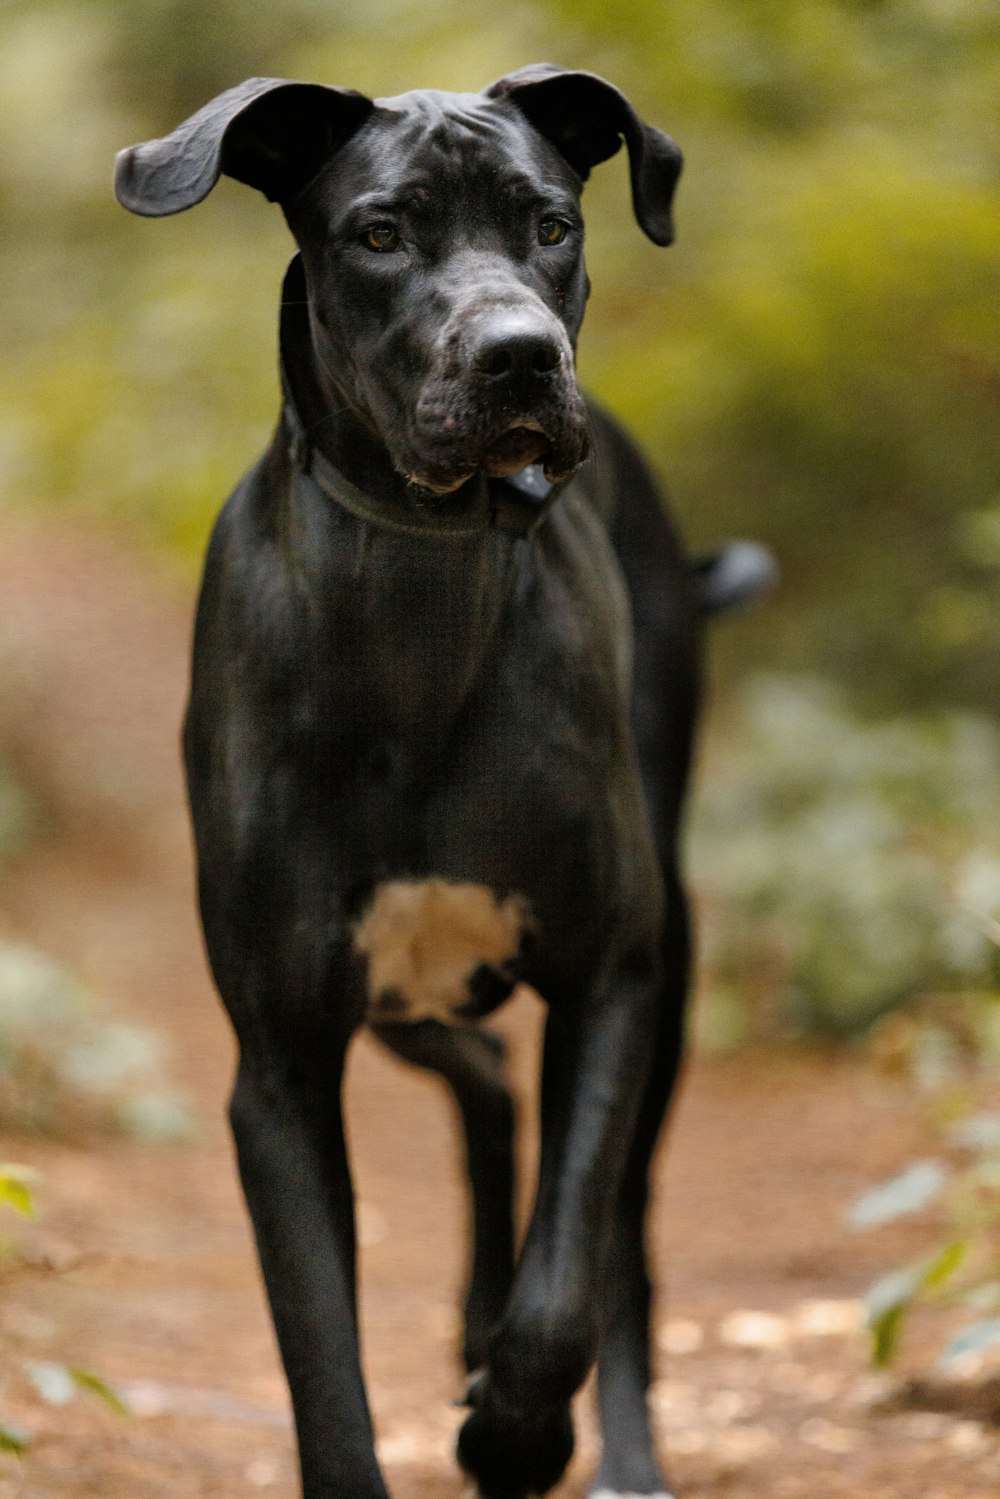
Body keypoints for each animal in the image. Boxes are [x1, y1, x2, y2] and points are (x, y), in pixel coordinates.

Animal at [113, 64, 761, 1499]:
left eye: (552, 223)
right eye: (379, 233)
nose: (520, 353)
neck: (417, 579)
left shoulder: (612, 976)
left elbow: (565, 1285)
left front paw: (514, 1431)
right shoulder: (281, 1062)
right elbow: (321, 1360)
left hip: (670, 952)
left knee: (619, 1238)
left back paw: (614, 1446)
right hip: (405, 994)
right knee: (487, 1080)